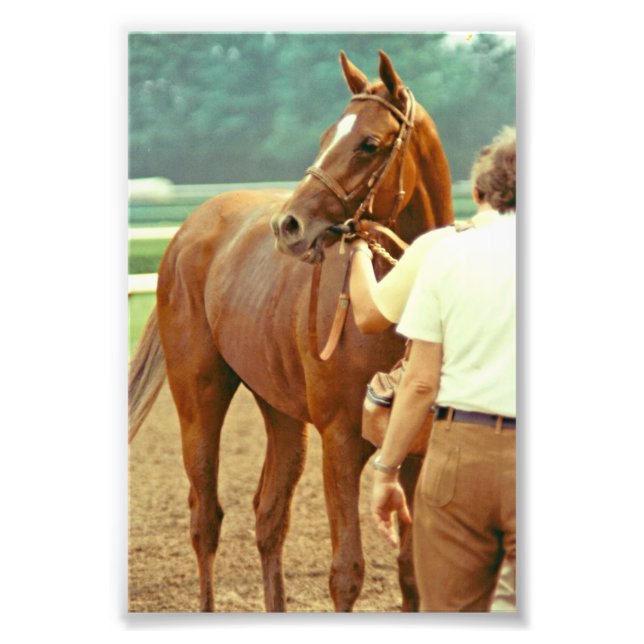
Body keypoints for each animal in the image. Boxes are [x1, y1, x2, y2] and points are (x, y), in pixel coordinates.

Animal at [128, 50, 454, 612]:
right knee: (205, 520)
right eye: (326, 136)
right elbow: (346, 574)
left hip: (280, 411)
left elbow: (414, 575)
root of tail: (187, 231)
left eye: (368, 143)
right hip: (198, 398)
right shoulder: (339, 441)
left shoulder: (414, 451)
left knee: (269, 518)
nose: (289, 225)